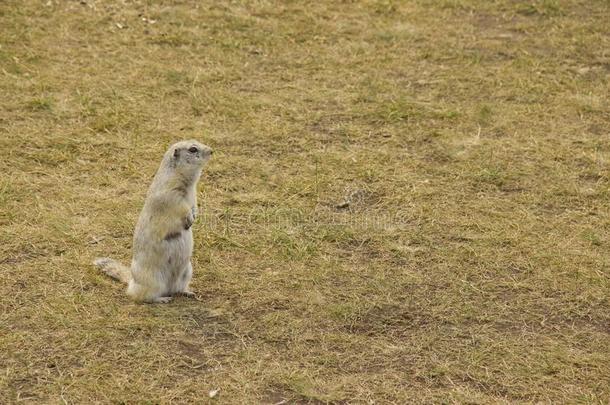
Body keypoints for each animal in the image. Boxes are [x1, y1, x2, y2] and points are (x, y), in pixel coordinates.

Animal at [92, 140, 211, 302]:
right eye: (193, 149)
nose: (211, 151)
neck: (187, 183)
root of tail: (132, 282)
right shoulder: (171, 196)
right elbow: (181, 207)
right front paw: (189, 218)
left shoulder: (193, 195)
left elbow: (194, 206)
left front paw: (194, 216)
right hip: (152, 279)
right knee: (142, 296)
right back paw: (162, 299)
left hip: (187, 271)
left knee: (176, 289)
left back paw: (188, 292)